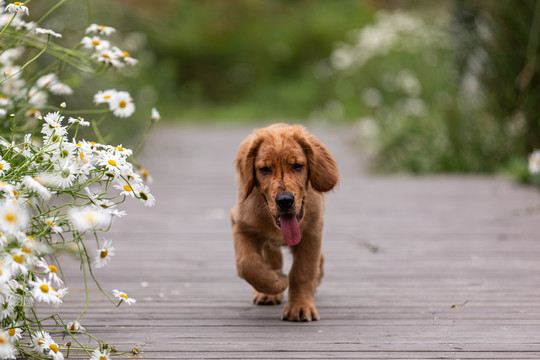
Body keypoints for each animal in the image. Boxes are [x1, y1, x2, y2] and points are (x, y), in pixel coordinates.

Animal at [231, 124, 338, 320]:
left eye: (297, 166)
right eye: (264, 169)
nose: (285, 201)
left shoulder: (312, 232)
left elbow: (303, 271)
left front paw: (300, 307)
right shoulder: (241, 224)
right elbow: (247, 264)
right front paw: (276, 282)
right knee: (271, 257)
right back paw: (268, 292)